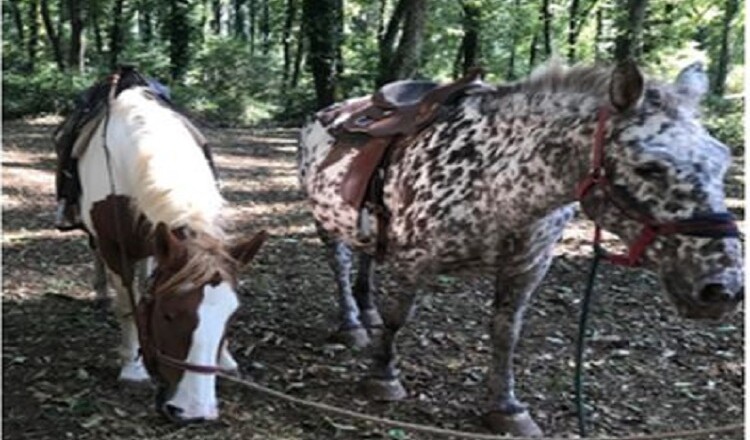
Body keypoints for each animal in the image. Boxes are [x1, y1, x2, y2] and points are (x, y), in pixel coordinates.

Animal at [76, 79, 266, 423]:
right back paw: (101, 293)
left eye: (232, 316)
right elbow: (127, 304)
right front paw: (132, 368)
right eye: (167, 315)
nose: (195, 410)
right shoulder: (113, 247)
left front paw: (227, 358)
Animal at [297, 60, 743, 436]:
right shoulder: (415, 260)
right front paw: (383, 376)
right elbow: (397, 317)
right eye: (648, 167)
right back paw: (352, 323)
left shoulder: (526, 269)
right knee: (340, 265)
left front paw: (506, 407)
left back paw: (365, 311)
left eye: (723, 159)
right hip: (325, 222)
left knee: (366, 259)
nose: (722, 289)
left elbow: (506, 333)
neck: (500, 177)